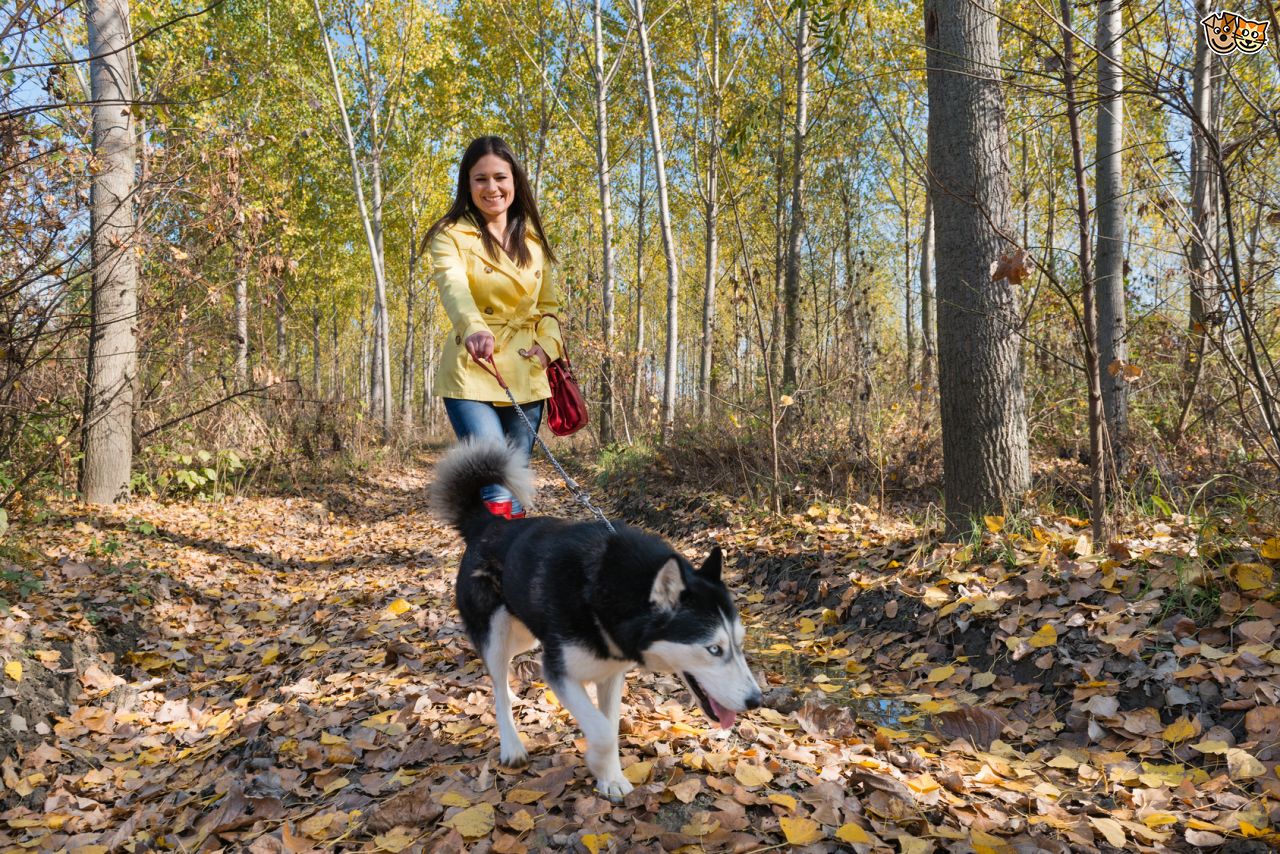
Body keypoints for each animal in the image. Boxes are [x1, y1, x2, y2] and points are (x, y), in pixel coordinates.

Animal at [435, 440, 762, 804]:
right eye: (714, 649)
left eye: (739, 644)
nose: (756, 701)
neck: (605, 590)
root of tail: (487, 524)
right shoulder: (558, 671)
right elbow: (603, 731)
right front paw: (596, 761)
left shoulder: (610, 673)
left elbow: (611, 725)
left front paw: (611, 778)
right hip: (497, 631)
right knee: (496, 681)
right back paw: (512, 744)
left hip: (525, 635)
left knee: (502, 673)